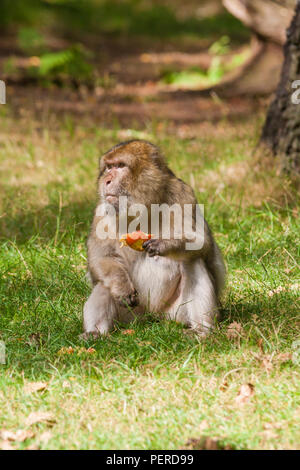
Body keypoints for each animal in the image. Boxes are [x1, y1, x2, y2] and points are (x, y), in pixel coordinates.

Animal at [82, 140, 225, 338]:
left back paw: (201, 330)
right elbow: (101, 258)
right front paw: (121, 286)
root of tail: (152, 317)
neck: (144, 206)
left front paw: (165, 244)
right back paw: (95, 333)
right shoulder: (101, 211)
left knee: (192, 261)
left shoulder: (183, 194)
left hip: (175, 313)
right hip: (130, 315)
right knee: (105, 283)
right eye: (109, 167)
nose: (106, 180)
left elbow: (202, 242)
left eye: (120, 166)